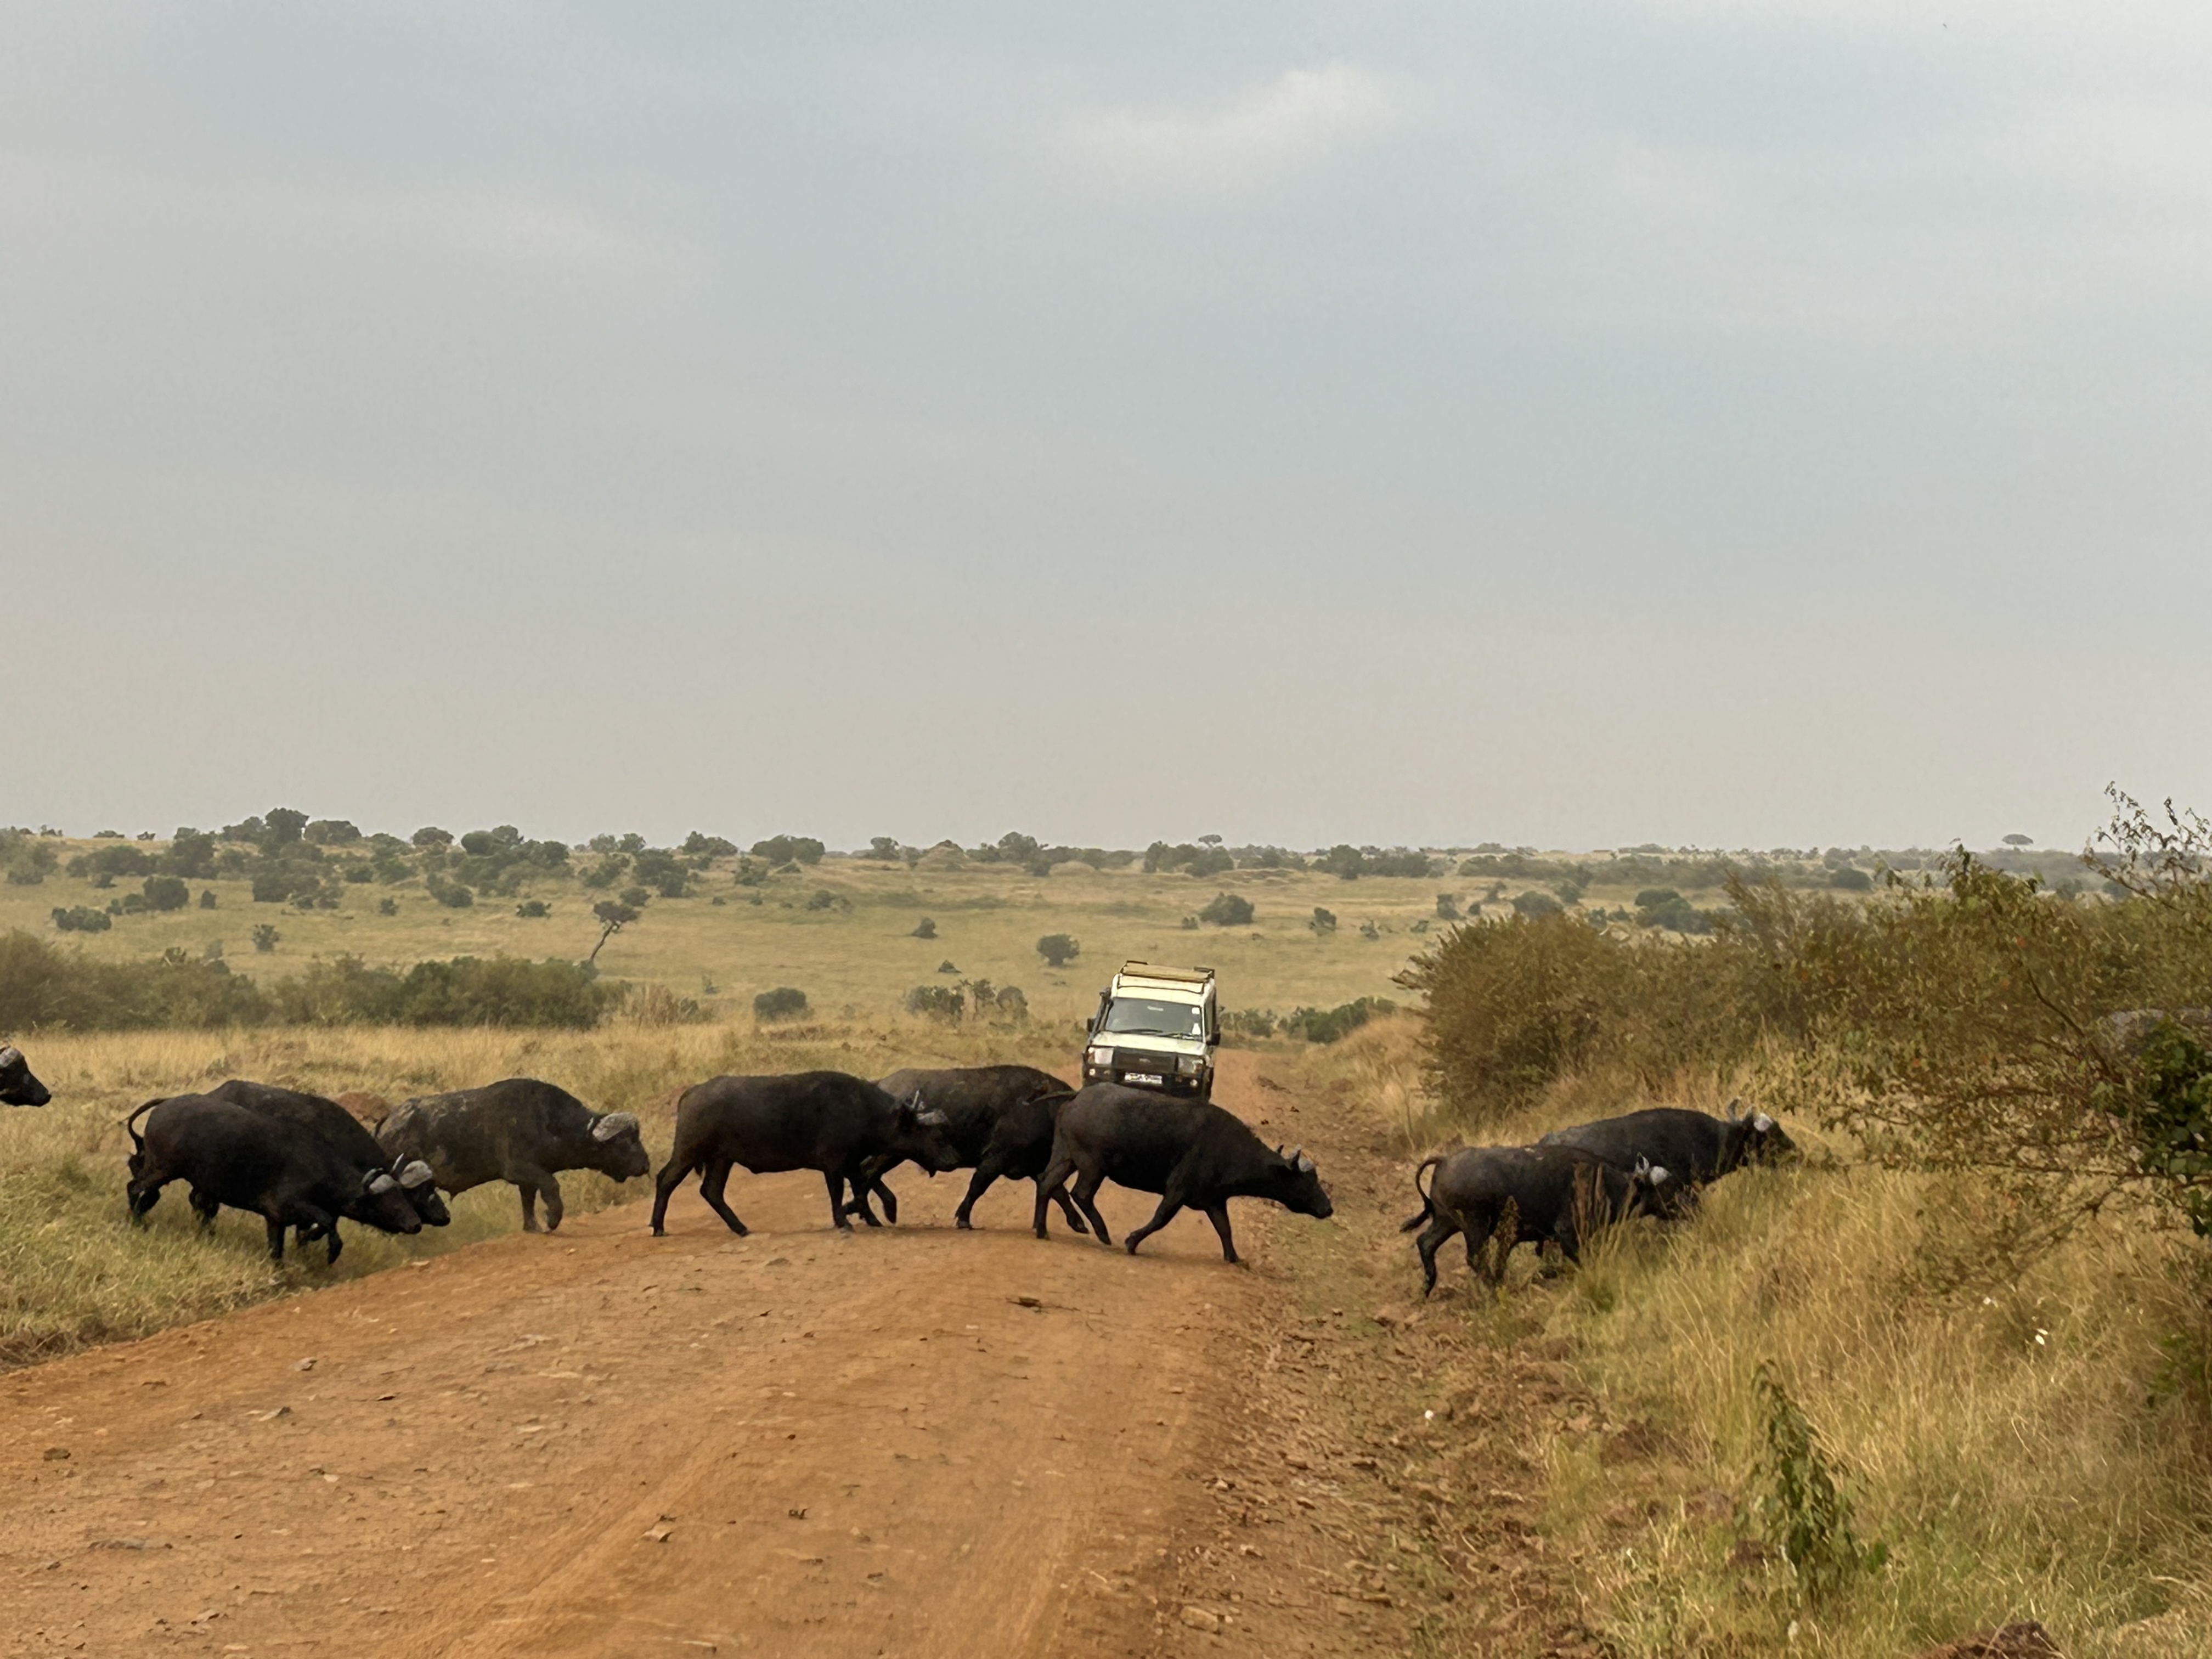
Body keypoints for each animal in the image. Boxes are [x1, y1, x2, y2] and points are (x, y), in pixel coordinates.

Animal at [124, 1093, 424, 1262]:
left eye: (402, 1195)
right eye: (384, 1201)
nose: (416, 1224)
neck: (319, 1168)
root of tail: (166, 1105)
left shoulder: (274, 1220)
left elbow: (277, 1251)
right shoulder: (290, 1206)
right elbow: (327, 1220)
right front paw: (332, 1252)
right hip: (161, 1169)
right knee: (134, 1187)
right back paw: (134, 1222)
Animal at [376, 1078, 650, 1233]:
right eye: (625, 1142)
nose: (646, 1165)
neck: (549, 1121)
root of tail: (388, 1122)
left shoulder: (528, 1178)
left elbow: (528, 1201)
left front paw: (532, 1227)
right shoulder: (521, 1170)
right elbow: (552, 1187)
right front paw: (552, 1220)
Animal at [650, 1071, 958, 1236]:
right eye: (936, 1136)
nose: (954, 1160)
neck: (862, 1109)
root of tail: (693, 1092)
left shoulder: (851, 1163)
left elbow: (862, 1189)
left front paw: (874, 1216)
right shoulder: (834, 1165)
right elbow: (840, 1193)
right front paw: (844, 1220)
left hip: (722, 1159)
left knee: (711, 1191)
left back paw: (741, 1228)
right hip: (689, 1152)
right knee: (666, 1180)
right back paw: (658, 1226)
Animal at [1032, 1083, 1332, 1263]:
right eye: (1307, 1182)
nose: (1328, 1208)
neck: (1230, 1149)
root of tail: (1078, 1095)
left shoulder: (1214, 1201)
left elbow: (1225, 1229)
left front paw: (1234, 1258)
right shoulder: (1178, 1190)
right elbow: (1160, 1218)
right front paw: (1132, 1241)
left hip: (1065, 1157)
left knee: (1046, 1183)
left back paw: (1042, 1229)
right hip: (1093, 1166)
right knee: (1081, 1194)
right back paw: (1102, 1233)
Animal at [1400, 1144, 1671, 1295]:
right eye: (1654, 1188)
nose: (1672, 1206)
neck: (1601, 1183)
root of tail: (1445, 1160)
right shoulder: (1567, 1235)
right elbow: (1578, 1262)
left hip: (1447, 1222)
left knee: (1425, 1242)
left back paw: (1427, 1287)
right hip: (1474, 1225)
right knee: (1475, 1258)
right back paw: (1494, 1287)